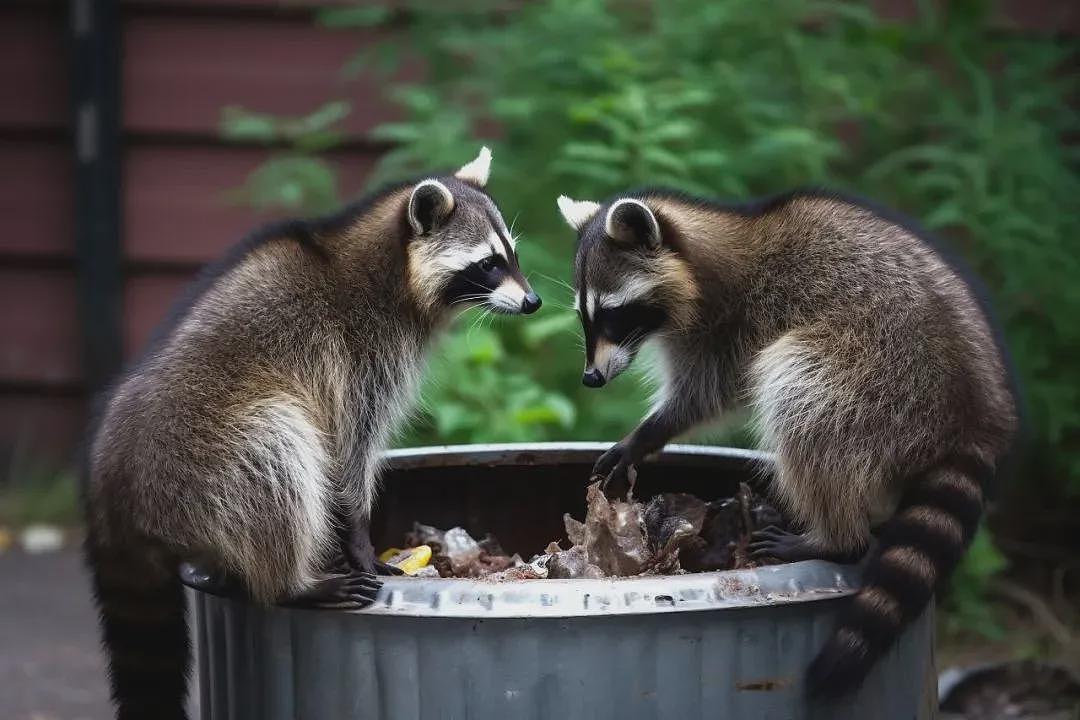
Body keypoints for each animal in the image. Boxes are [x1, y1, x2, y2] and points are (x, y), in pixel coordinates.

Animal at [84, 147, 540, 720]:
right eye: (488, 264)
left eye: (512, 256)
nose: (533, 301)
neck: (388, 268)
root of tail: (111, 496)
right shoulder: (358, 354)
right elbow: (346, 452)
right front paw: (359, 537)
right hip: (202, 459)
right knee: (279, 451)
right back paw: (291, 583)